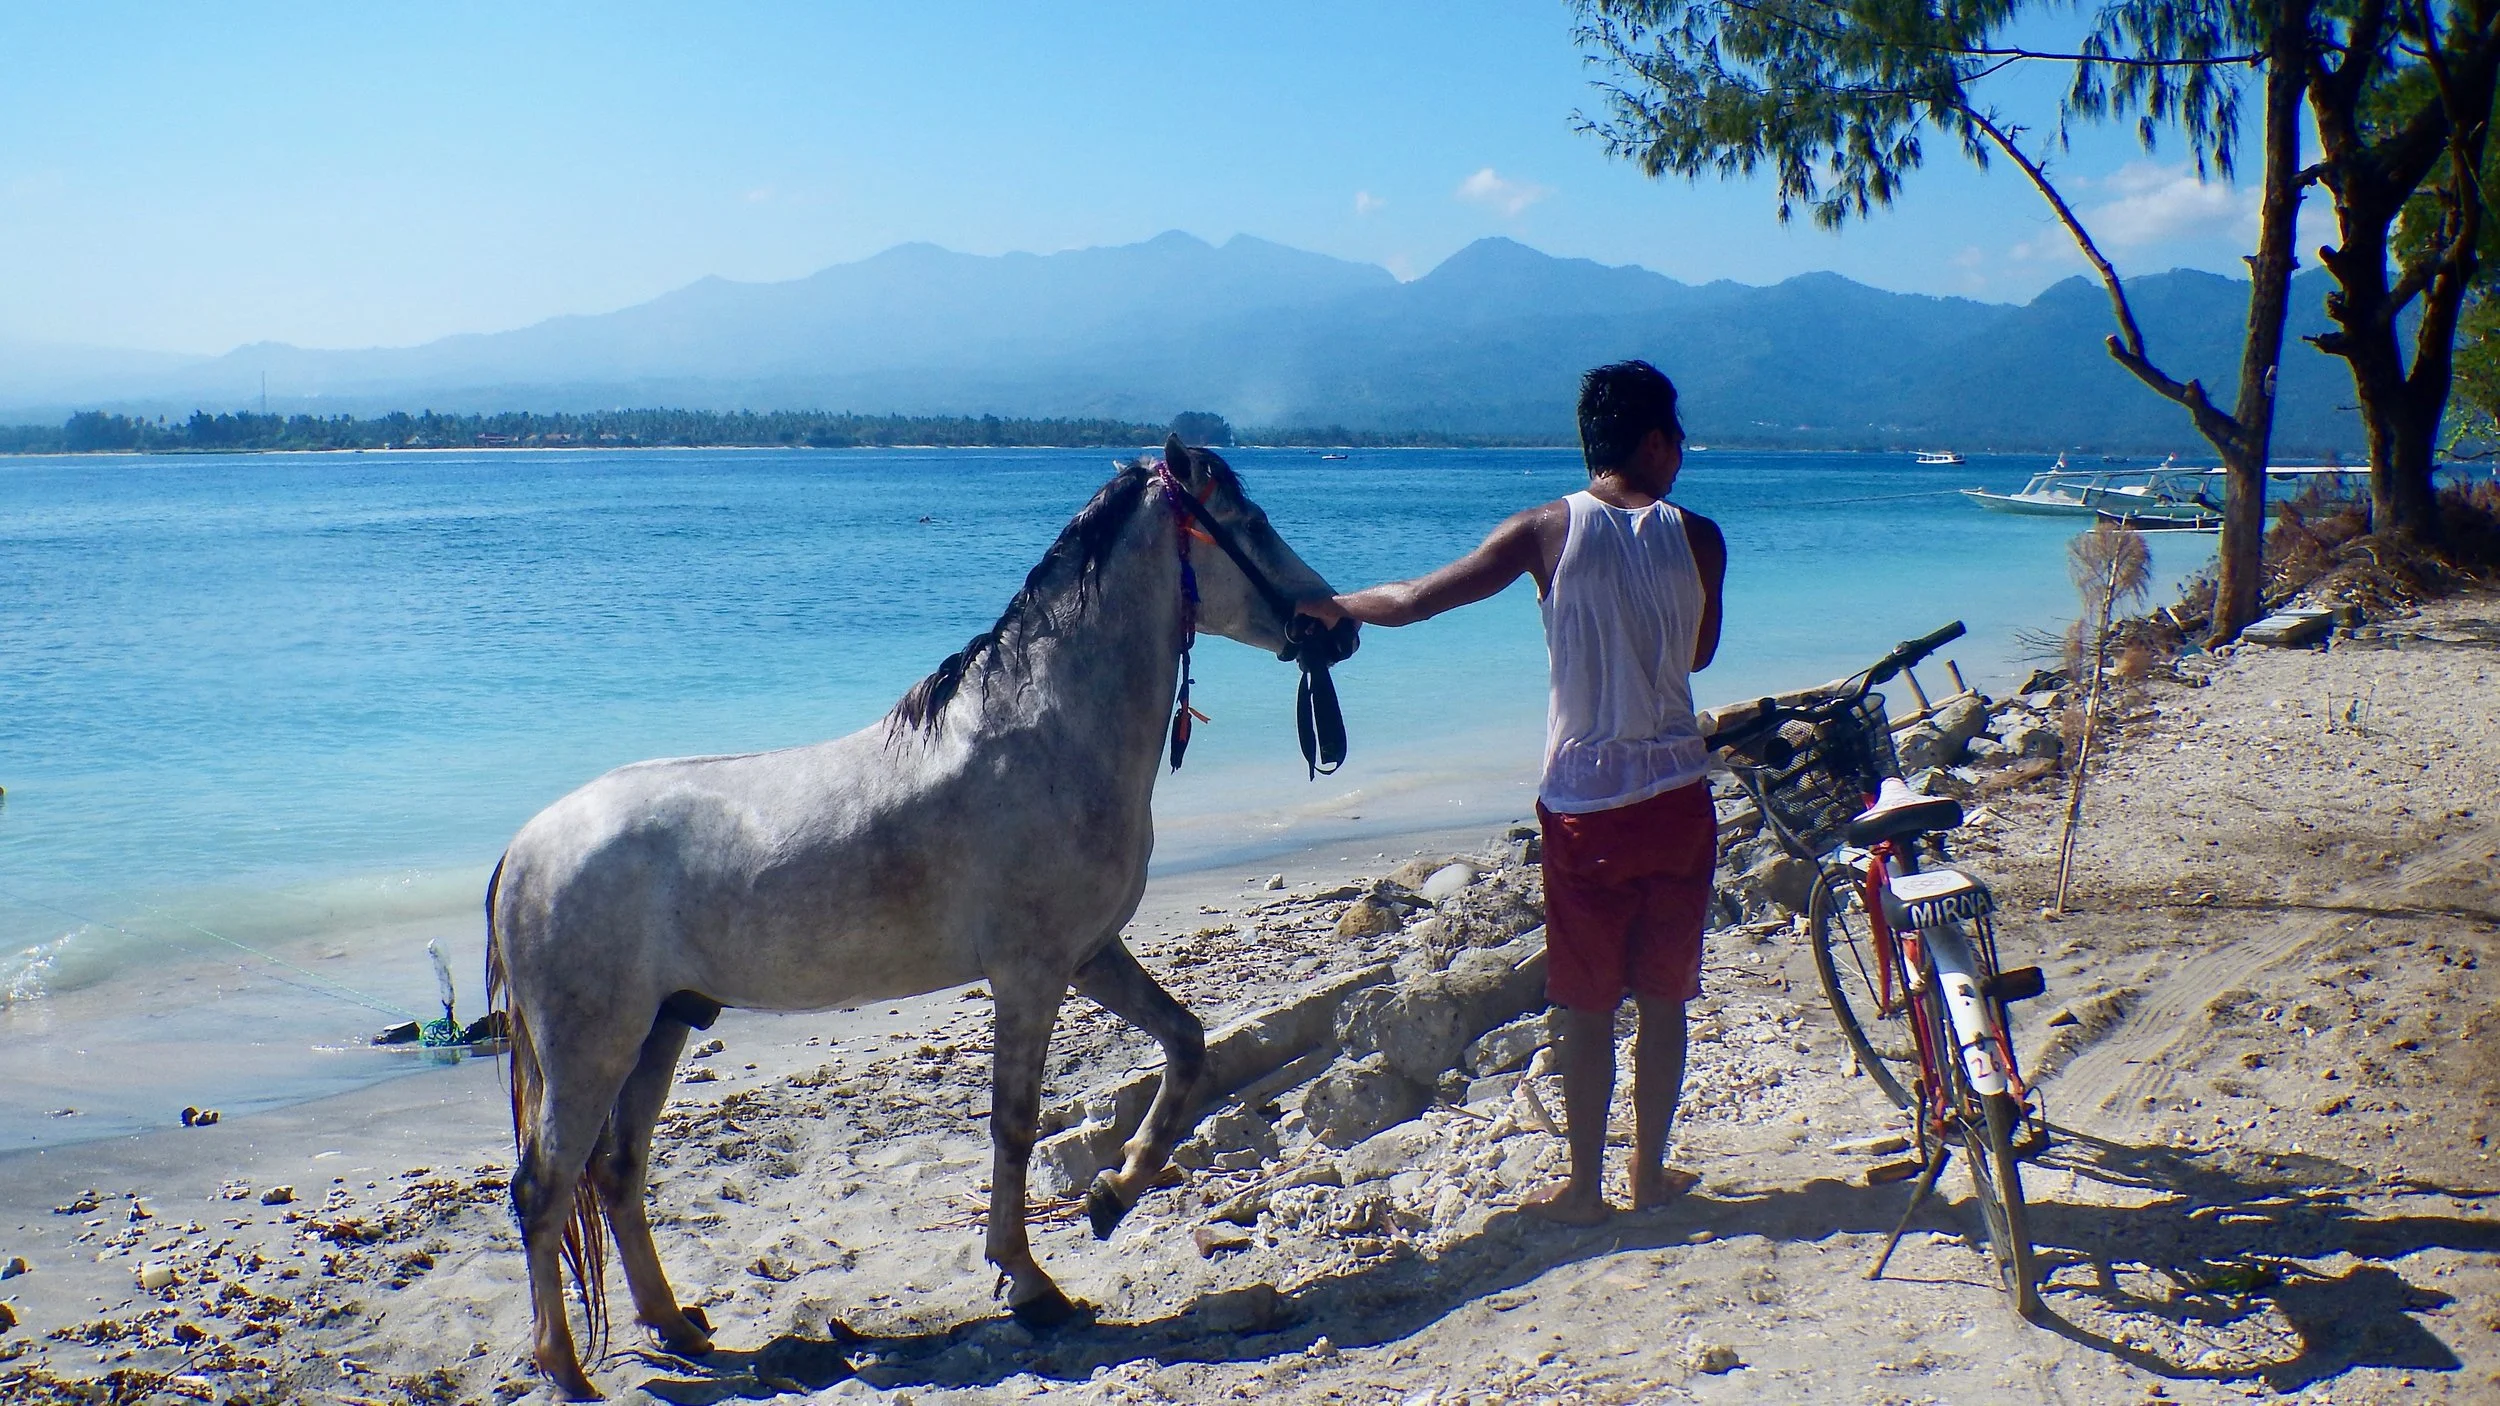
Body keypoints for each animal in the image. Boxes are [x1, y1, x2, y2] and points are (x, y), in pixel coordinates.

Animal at [484, 438, 1350, 1398]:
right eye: (1250, 521)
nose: (1339, 626)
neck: (1046, 737)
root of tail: (525, 849)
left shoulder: (1091, 955)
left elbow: (1188, 1044)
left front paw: (1110, 1196)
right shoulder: (1030, 974)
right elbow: (1015, 1119)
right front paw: (1030, 1281)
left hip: (663, 1027)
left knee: (618, 1172)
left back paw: (676, 1326)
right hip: (591, 1047)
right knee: (544, 1188)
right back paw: (565, 1369)